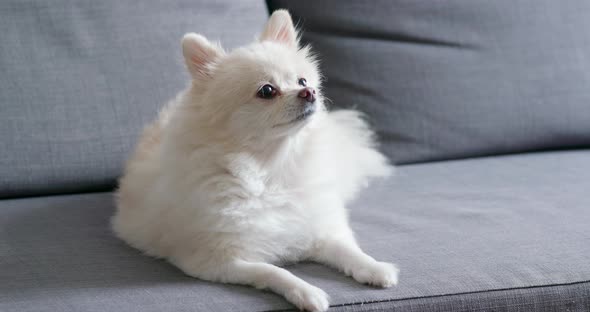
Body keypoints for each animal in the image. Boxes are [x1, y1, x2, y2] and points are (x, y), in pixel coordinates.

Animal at [113, 9, 400, 312]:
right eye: (267, 91)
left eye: (302, 81)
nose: (310, 92)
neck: (273, 168)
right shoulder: (216, 261)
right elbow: (272, 271)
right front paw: (306, 291)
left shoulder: (319, 231)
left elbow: (347, 250)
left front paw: (375, 267)